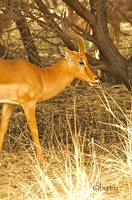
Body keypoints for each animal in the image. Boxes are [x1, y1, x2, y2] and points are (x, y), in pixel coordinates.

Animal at [0, 12, 99, 162]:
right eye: (81, 61)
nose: (95, 78)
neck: (40, 76)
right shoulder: (28, 104)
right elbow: (34, 130)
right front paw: (42, 162)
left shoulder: (9, 104)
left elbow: (3, 128)